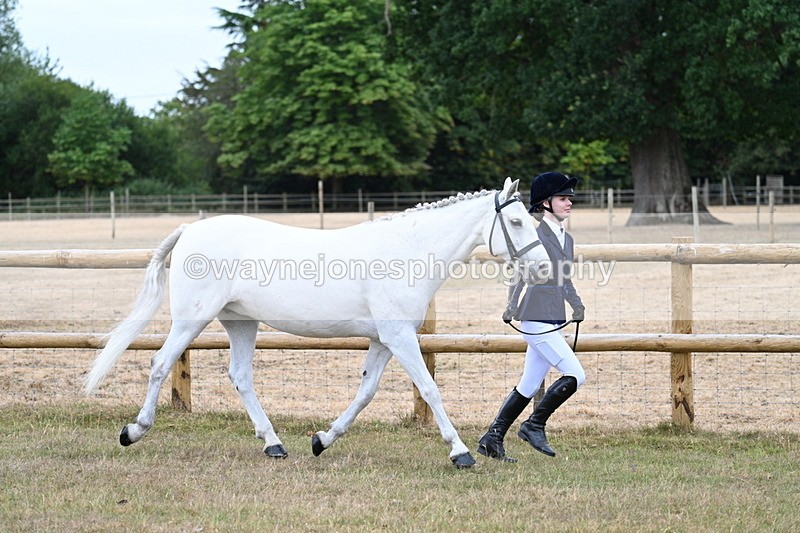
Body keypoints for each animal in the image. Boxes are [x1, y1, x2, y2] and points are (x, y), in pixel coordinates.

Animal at [84, 177, 548, 468]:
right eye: (516, 221)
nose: (544, 269)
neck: (405, 251)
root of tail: (189, 230)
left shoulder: (384, 341)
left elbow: (365, 393)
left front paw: (322, 440)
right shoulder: (399, 337)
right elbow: (431, 390)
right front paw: (460, 453)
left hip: (241, 323)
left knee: (240, 376)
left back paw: (274, 444)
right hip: (191, 319)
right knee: (161, 363)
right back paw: (133, 431)